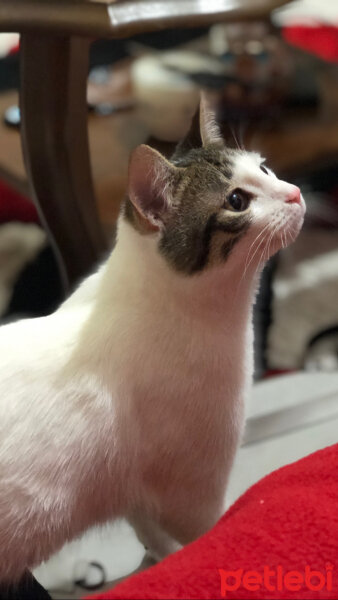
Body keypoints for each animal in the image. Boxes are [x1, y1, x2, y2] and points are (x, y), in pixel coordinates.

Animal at [0, 97, 304, 580]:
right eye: (237, 201)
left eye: (265, 169)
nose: (294, 192)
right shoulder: (192, 490)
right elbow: (203, 531)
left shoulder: (139, 491)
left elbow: (149, 529)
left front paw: (159, 557)